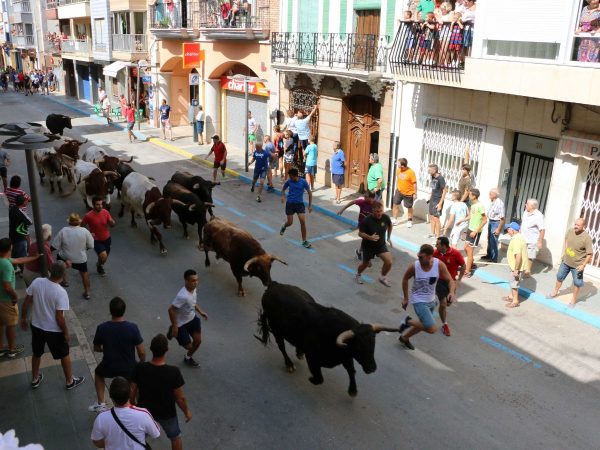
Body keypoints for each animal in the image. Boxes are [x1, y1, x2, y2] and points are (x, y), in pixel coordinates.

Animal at [256, 284, 400, 396]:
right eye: (358, 346)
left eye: (373, 343)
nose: (372, 368)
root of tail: (273, 285)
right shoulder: (313, 358)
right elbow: (319, 378)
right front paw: (311, 379)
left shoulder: (346, 356)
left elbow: (351, 371)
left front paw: (352, 390)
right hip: (276, 330)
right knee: (282, 347)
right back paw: (289, 365)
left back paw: (299, 352)